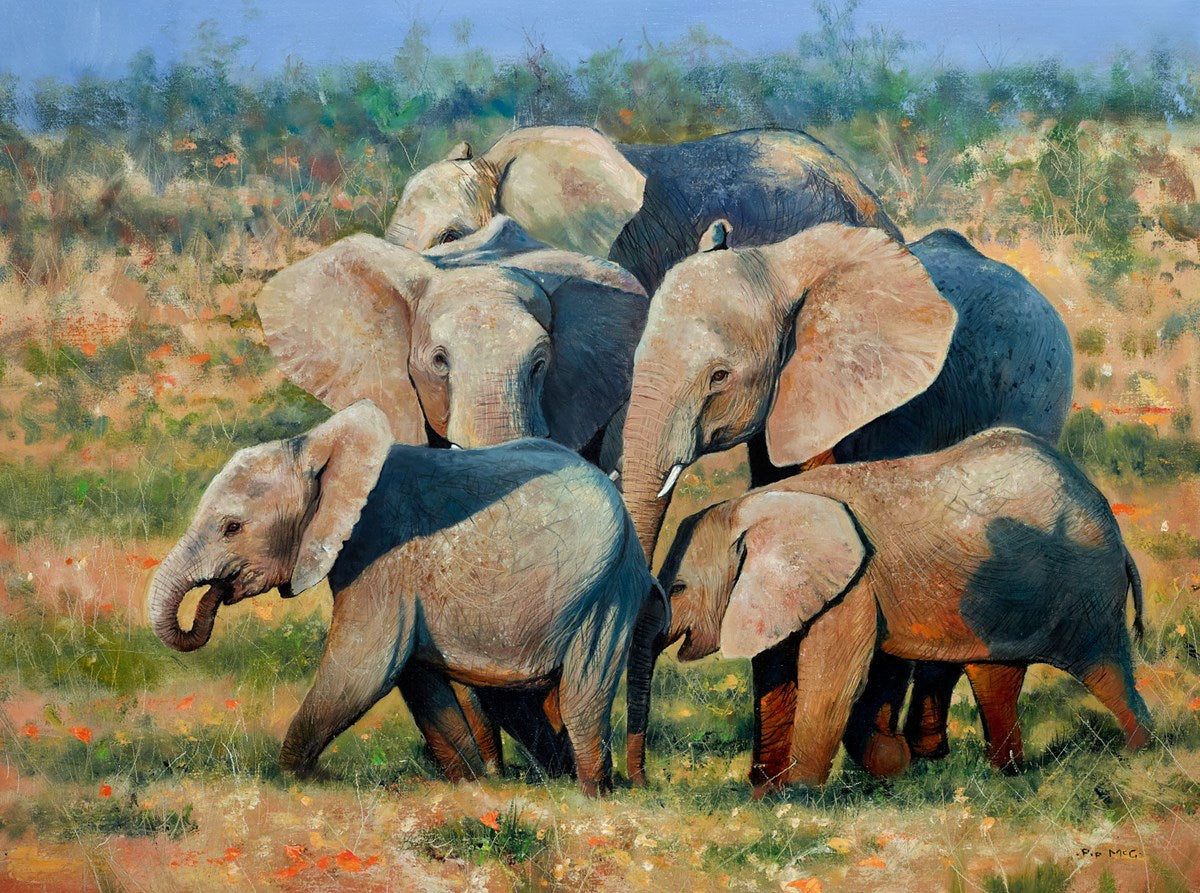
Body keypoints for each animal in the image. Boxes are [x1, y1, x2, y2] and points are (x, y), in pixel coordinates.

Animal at [147, 401, 658, 796]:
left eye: (232, 527)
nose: (215, 593)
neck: (317, 443)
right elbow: (417, 682)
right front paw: (470, 785)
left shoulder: (383, 557)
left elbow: (363, 670)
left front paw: (297, 779)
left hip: (605, 590)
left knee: (581, 698)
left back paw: (592, 796)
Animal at [620, 221, 1074, 782]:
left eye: (719, 377)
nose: (640, 781)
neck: (779, 265)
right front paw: (767, 783)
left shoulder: (889, 406)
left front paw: (879, 757)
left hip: (1036, 392)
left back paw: (921, 753)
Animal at [628, 427, 1151, 793]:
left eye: (678, 588)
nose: (643, 785)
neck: (759, 503)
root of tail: (1115, 527)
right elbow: (798, 670)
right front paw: (887, 766)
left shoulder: (852, 586)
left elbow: (832, 679)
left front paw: (798, 795)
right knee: (995, 674)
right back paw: (1007, 774)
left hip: (1087, 589)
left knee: (1104, 670)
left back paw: (1139, 756)